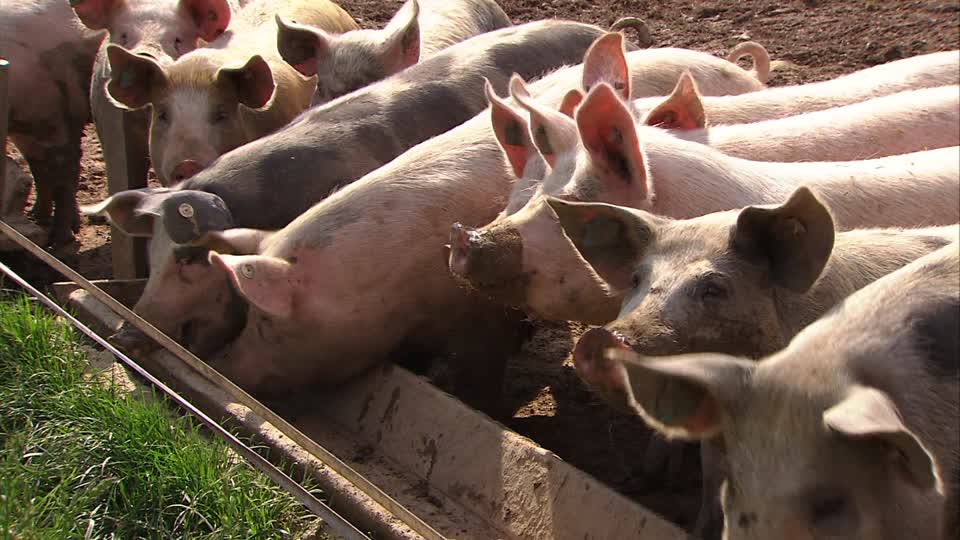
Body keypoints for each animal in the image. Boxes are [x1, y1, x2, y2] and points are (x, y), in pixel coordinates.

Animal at [0, 0, 106, 245]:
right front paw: (38, 216)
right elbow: (38, 170)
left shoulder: (58, 119)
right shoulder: (24, 133)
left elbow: (65, 176)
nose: (34, 236)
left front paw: (60, 239)